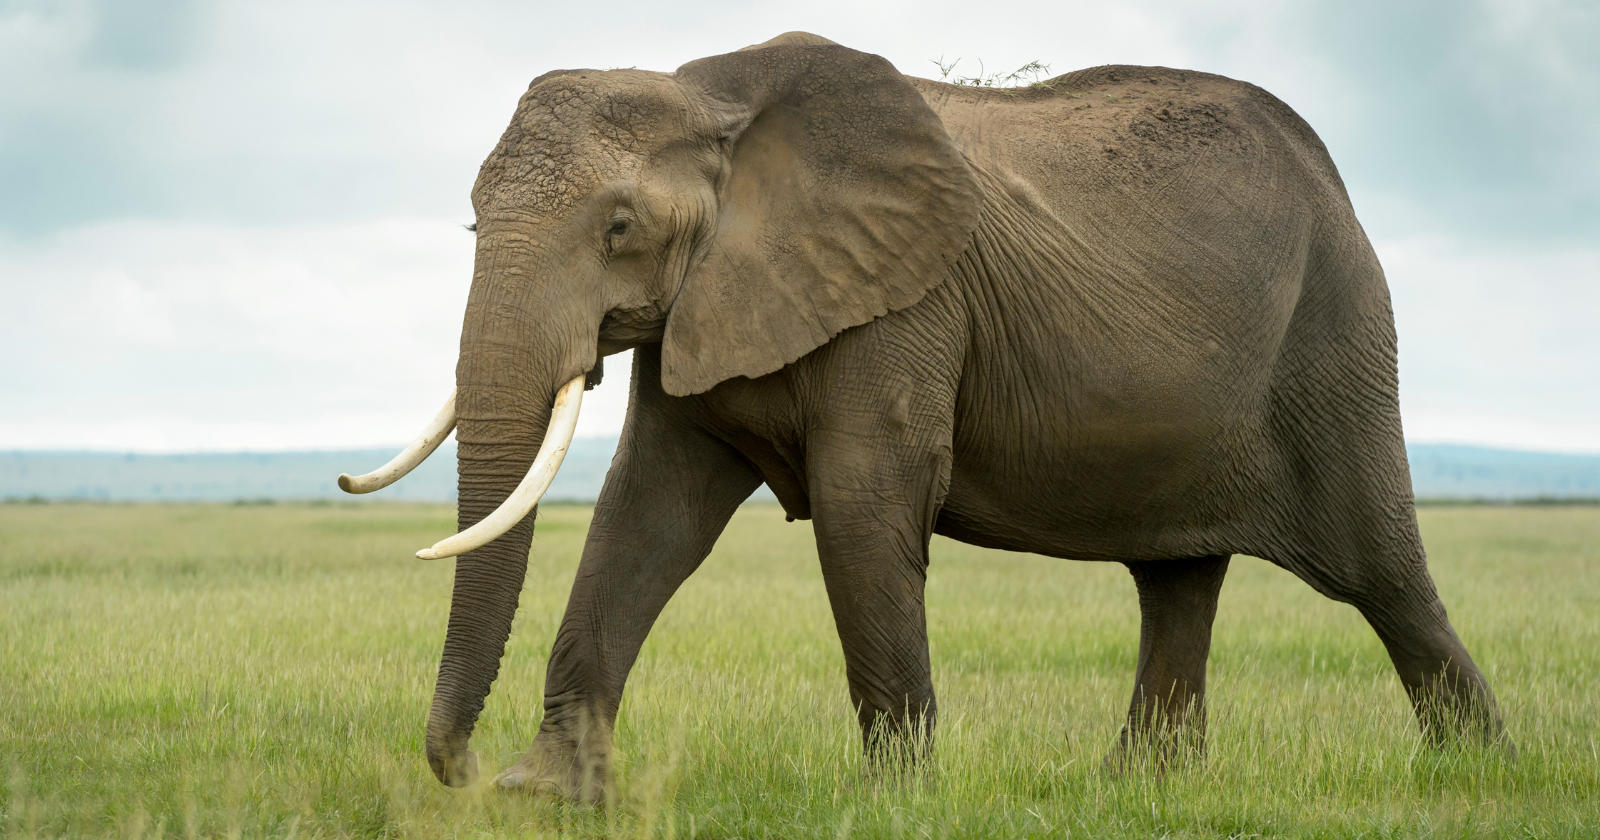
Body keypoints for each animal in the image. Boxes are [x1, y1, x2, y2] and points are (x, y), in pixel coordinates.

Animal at [339, 32, 1506, 797]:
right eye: (472, 219)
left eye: (619, 227)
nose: (461, 770)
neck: (712, 97)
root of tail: (1331, 174)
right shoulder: (706, 307)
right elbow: (646, 517)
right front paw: (547, 797)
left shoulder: (907, 300)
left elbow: (862, 507)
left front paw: (893, 803)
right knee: (1177, 580)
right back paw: (1141, 790)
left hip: (1338, 338)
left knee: (1380, 572)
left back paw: (1482, 770)